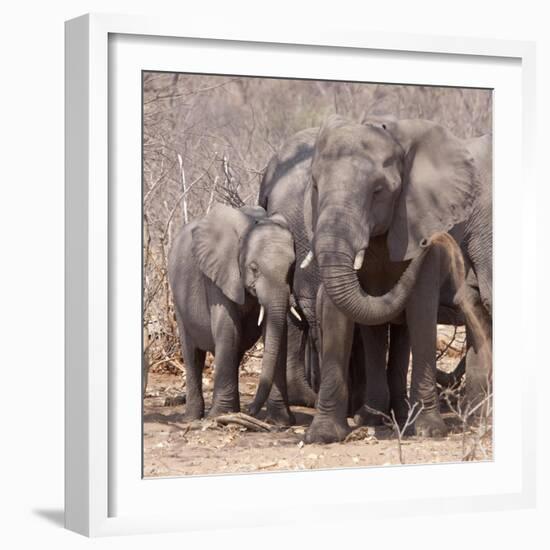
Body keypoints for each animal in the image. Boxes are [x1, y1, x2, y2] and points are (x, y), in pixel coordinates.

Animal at [168, 205, 300, 424]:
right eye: (254, 268)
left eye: (291, 268)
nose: (250, 410)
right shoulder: (219, 274)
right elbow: (228, 329)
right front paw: (221, 416)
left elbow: (277, 333)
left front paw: (280, 422)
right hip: (179, 299)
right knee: (192, 354)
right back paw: (193, 419)